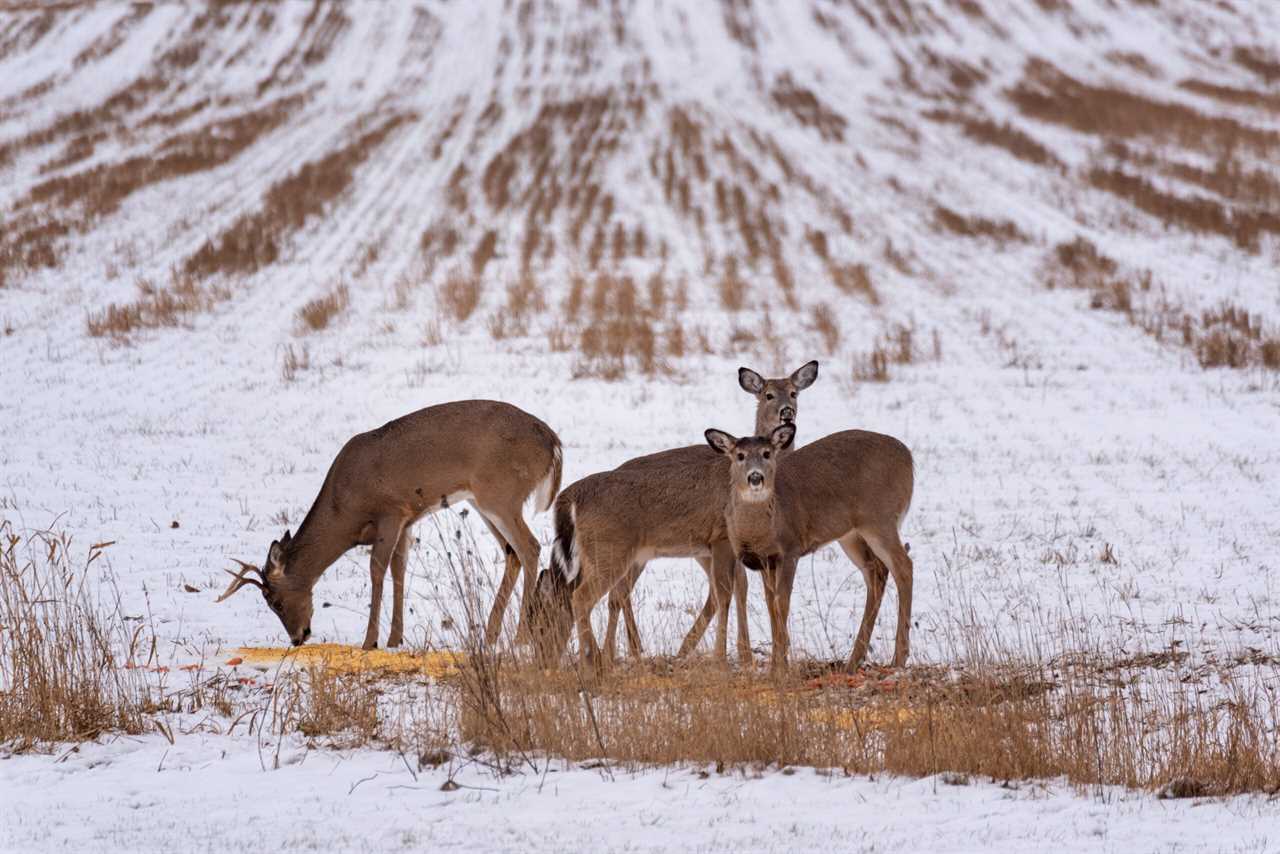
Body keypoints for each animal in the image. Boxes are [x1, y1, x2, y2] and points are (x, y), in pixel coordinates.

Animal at [217, 402, 563, 647]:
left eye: (274, 601)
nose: (297, 637)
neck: (344, 509)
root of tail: (553, 441)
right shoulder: (408, 519)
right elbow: (399, 569)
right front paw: (396, 638)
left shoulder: (391, 511)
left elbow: (377, 569)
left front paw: (369, 641)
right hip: (483, 503)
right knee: (512, 553)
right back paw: (491, 634)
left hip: (502, 495)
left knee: (529, 547)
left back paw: (520, 636)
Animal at [529, 361, 819, 665]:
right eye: (768, 395)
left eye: (794, 393)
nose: (542, 658)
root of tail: (570, 496)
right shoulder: (722, 538)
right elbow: (730, 591)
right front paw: (730, 657)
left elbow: (736, 590)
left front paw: (743, 654)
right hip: (611, 549)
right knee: (590, 596)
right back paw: (601, 658)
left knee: (605, 594)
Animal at [706, 425, 916, 670]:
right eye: (740, 455)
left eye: (767, 453)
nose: (756, 477)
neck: (761, 530)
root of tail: (908, 458)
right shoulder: (765, 561)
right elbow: (771, 605)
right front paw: (779, 661)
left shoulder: (790, 549)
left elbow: (782, 602)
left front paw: (779, 667)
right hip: (851, 534)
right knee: (876, 572)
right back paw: (854, 660)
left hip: (879, 518)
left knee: (903, 566)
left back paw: (898, 659)